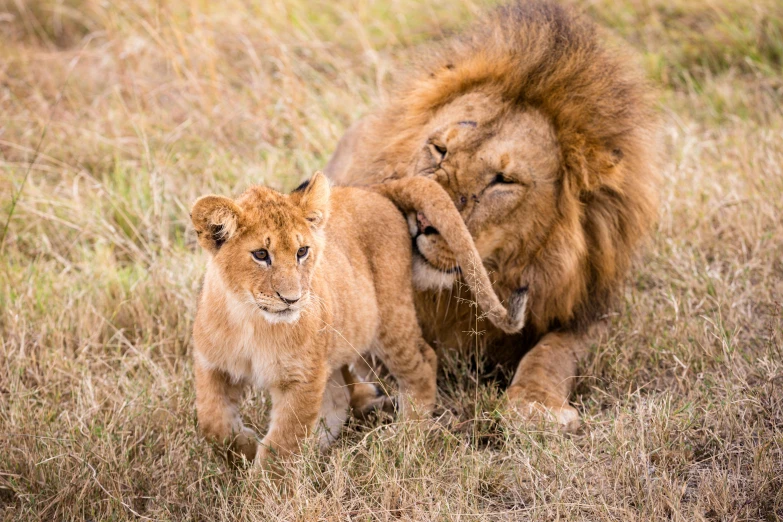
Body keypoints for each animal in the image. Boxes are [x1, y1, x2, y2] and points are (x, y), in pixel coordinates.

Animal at [324, 2, 660, 428]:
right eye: (439, 149)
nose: (419, 219)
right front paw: (369, 394)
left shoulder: (592, 312)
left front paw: (536, 405)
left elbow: (553, 350)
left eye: (504, 180)